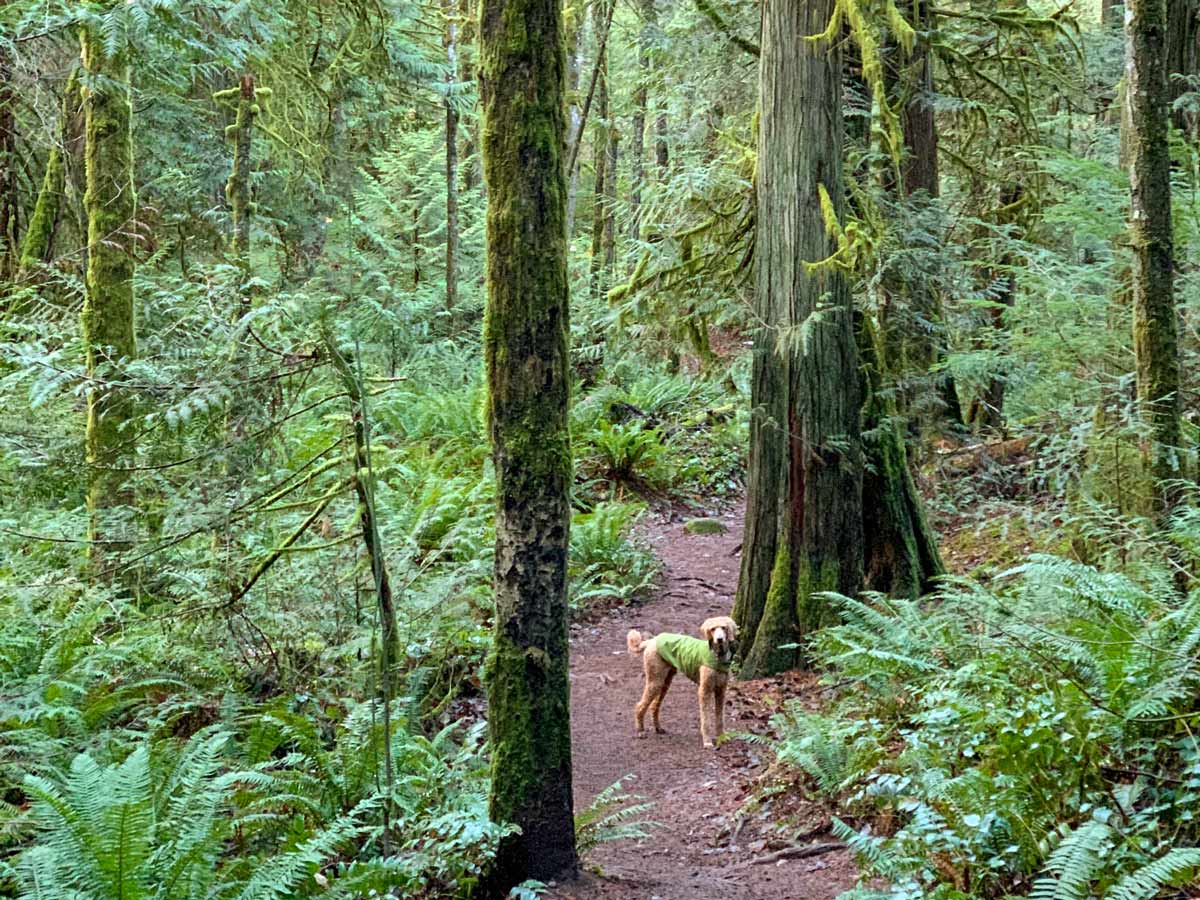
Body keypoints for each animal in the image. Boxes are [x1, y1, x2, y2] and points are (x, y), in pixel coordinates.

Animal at [624, 619, 734, 748]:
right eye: (712, 629)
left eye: (724, 628)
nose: (719, 639)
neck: (717, 656)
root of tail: (652, 640)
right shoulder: (704, 691)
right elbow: (705, 719)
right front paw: (707, 741)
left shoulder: (721, 691)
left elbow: (720, 717)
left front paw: (722, 737)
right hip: (655, 681)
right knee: (640, 706)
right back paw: (640, 731)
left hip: (665, 682)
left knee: (654, 706)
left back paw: (658, 728)